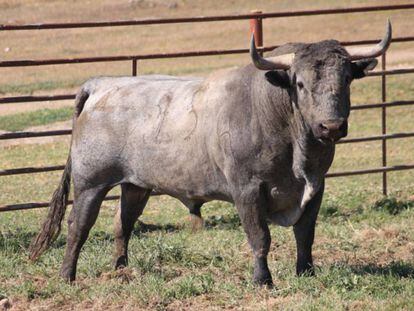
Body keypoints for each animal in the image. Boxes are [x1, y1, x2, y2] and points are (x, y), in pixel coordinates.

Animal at [29, 20, 392, 286]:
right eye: (300, 84)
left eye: (346, 80)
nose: (331, 127)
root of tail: (101, 84)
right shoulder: (247, 189)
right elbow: (260, 237)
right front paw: (262, 280)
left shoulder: (316, 186)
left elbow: (305, 234)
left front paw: (306, 272)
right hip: (90, 183)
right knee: (79, 225)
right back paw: (67, 276)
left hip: (136, 185)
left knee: (123, 224)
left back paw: (121, 270)